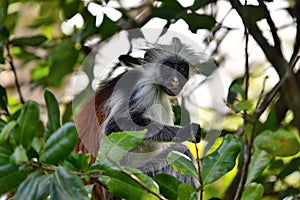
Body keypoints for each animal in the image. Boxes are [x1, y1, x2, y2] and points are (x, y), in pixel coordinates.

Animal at [75, 37, 203, 198]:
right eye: (168, 69)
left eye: (182, 70)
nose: (175, 81)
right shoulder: (145, 89)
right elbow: (114, 126)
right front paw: (188, 131)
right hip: (136, 178)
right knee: (180, 151)